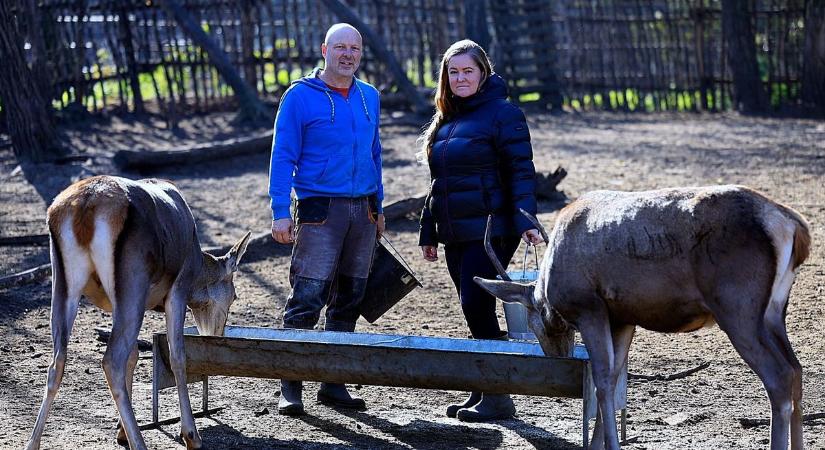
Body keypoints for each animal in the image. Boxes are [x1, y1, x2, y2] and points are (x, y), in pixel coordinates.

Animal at [25, 175, 251, 450]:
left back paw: (32, 443)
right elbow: (177, 356)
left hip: (63, 285)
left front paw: (120, 431)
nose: (217, 334)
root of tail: (85, 207)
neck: (197, 269)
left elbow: (133, 356)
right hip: (133, 282)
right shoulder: (177, 290)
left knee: (57, 362)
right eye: (234, 296)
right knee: (111, 361)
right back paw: (141, 443)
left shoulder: (115, 304)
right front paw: (191, 435)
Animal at [476, 185, 812, 450]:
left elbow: (602, 380)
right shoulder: (624, 318)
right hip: (773, 312)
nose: (558, 355)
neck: (549, 283)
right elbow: (613, 378)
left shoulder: (590, 308)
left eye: (533, 320)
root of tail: (793, 227)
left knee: (780, 376)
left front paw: (609, 445)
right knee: (797, 370)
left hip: (738, 307)